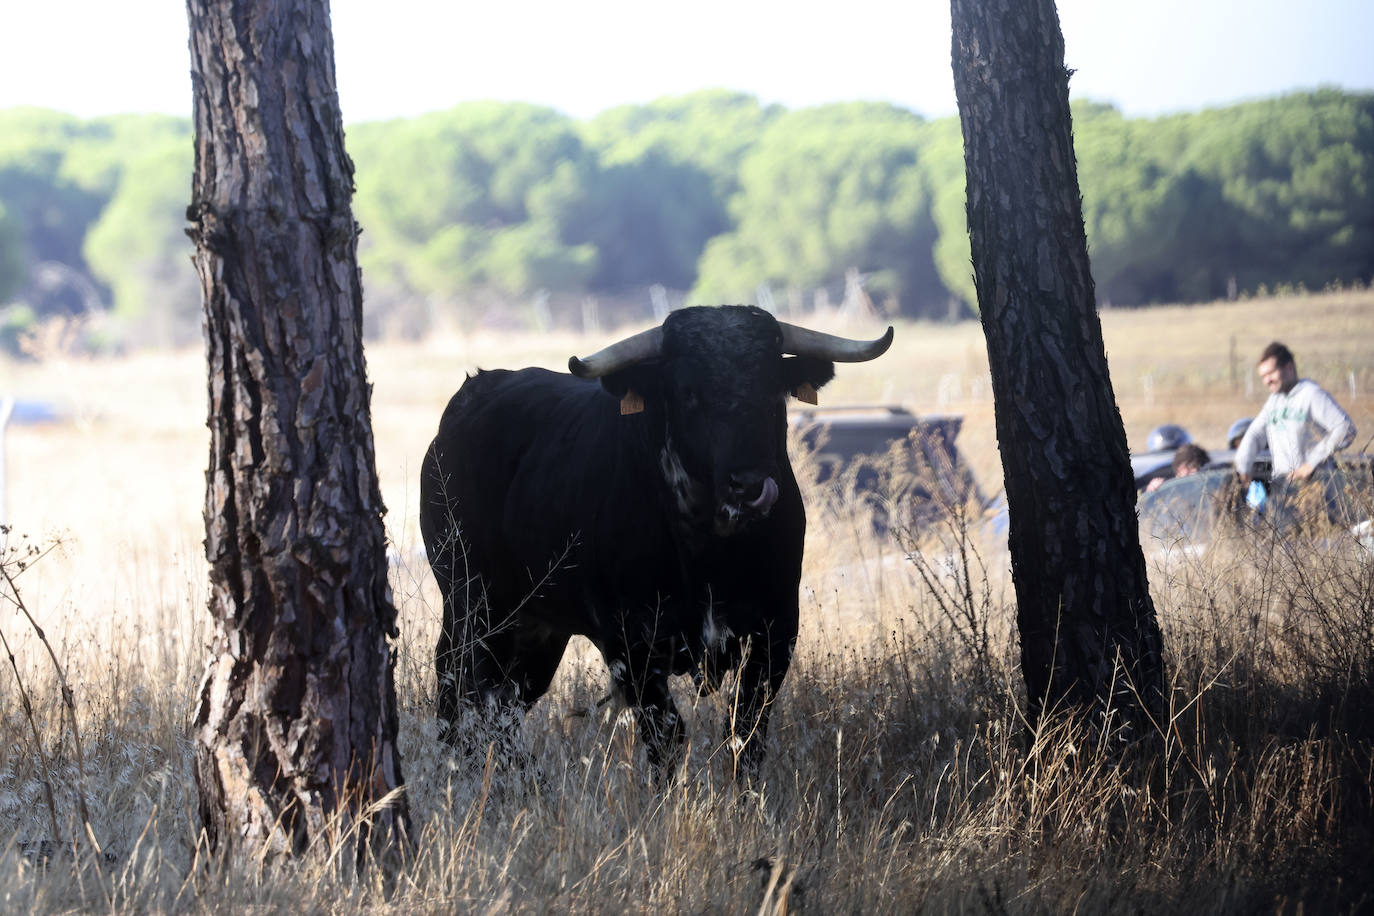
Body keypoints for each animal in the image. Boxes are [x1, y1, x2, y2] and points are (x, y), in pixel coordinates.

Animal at [417, 307, 890, 774]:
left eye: (773, 389)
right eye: (687, 393)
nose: (750, 485)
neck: (711, 552)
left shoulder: (775, 632)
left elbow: (746, 733)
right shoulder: (633, 645)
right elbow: (666, 738)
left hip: (537, 627)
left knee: (506, 703)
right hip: (472, 606)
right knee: (463, 692)